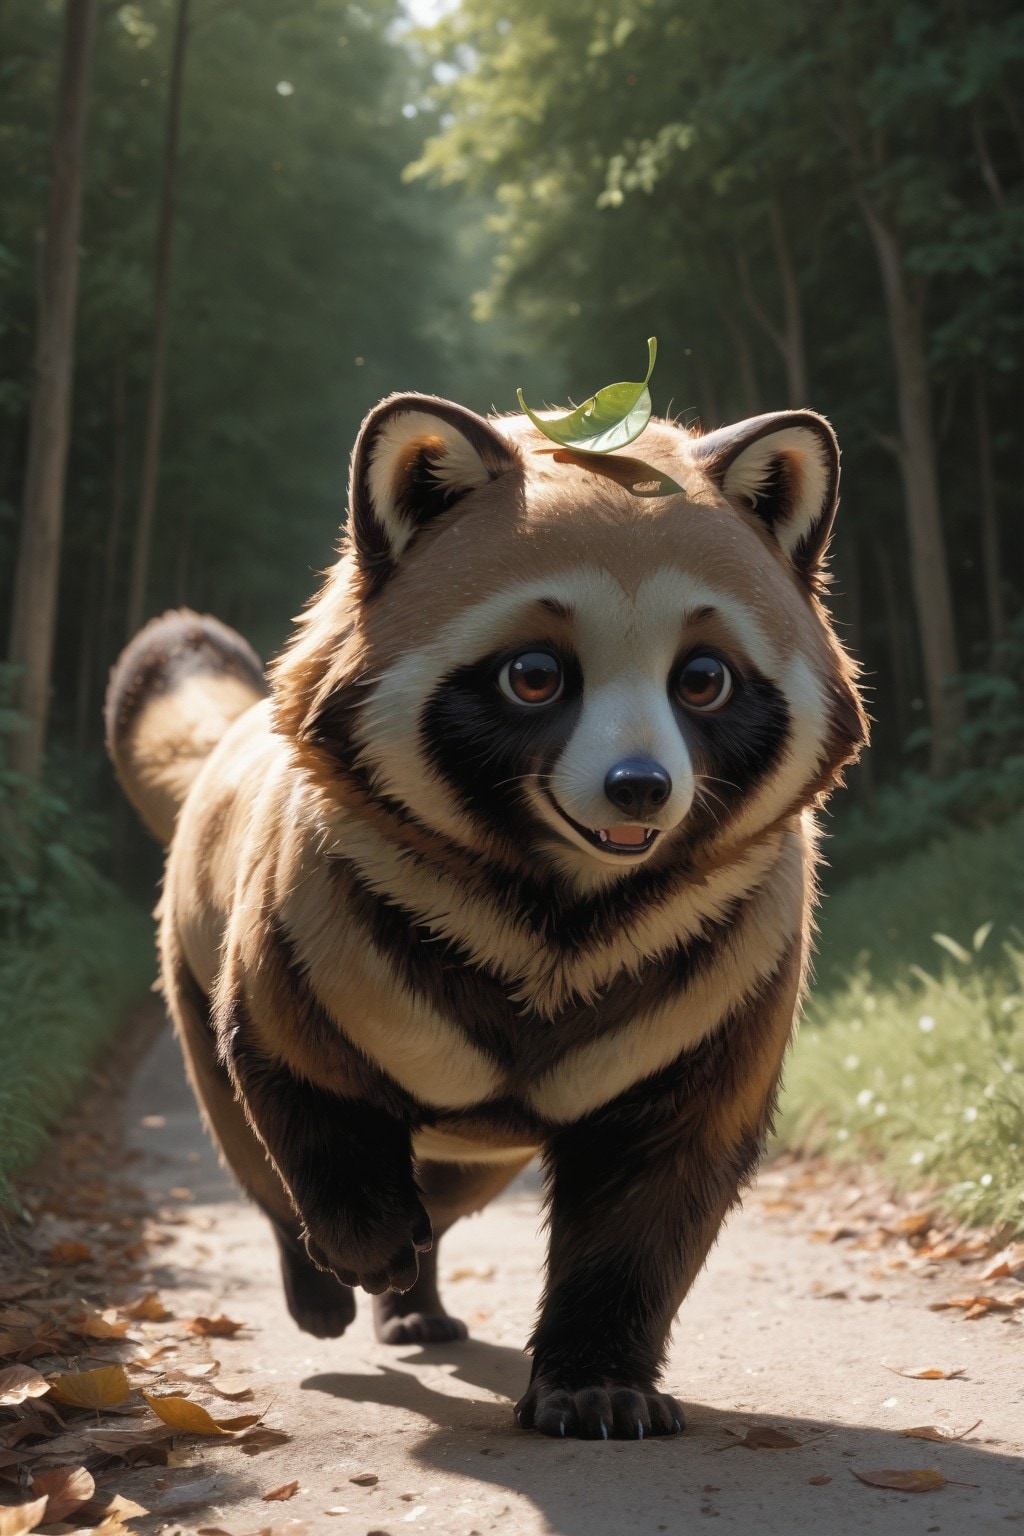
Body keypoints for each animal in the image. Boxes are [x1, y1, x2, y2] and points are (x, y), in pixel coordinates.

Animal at [106, 392, 866, 1439]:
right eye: (535, 675)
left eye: (703, 679)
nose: (639, 788)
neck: (559, 911)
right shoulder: (300, 959)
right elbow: (315, 1124)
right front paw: (366, 1248)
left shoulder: (721, 1005)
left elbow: (640, 1224)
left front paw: (598, 1388)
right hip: (200, 997)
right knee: (262, 1171)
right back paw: (328, 1294)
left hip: (481, 1149)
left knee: (451, 1189)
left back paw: (416, 1308)